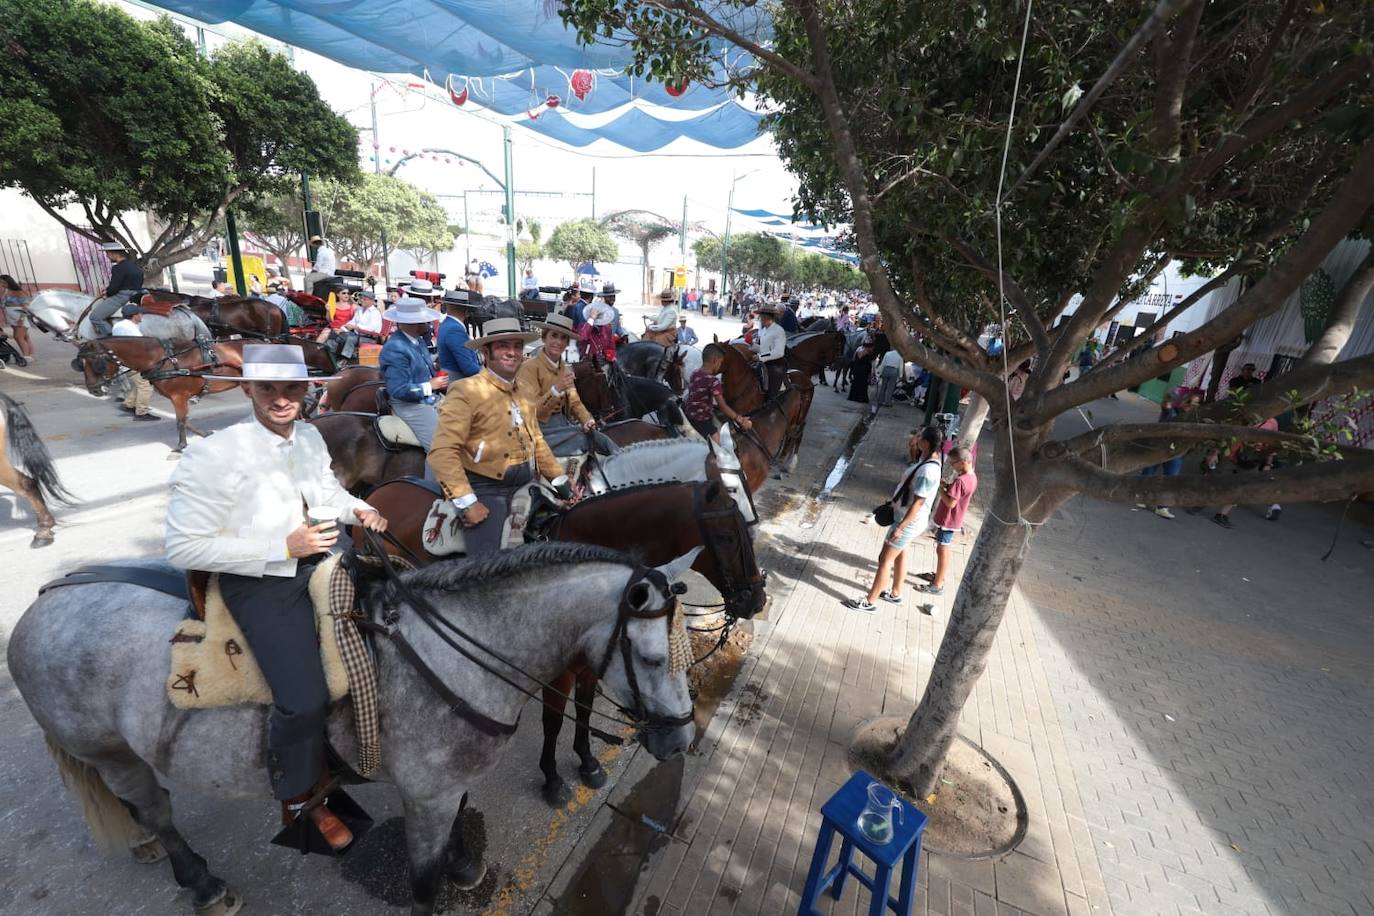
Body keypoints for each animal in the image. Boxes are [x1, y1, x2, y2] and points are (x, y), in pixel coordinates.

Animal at [8, 543, 697, 916]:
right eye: (653, 659)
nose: (682, 741)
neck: (454, 652)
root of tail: (42, 602)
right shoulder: (426, 796)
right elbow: (421, 883)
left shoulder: (447, 787)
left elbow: (456, 835)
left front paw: (462, 864)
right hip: (110, 750)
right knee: (154, 808)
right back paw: (199, 879)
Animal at [359, 477, 769, 807]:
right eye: (728, 536)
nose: (756, 599)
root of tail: (382, 488)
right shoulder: (559, 674)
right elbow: (554, 721)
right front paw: (553, 779)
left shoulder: (591, 664)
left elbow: (584, 711)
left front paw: (587, 762)